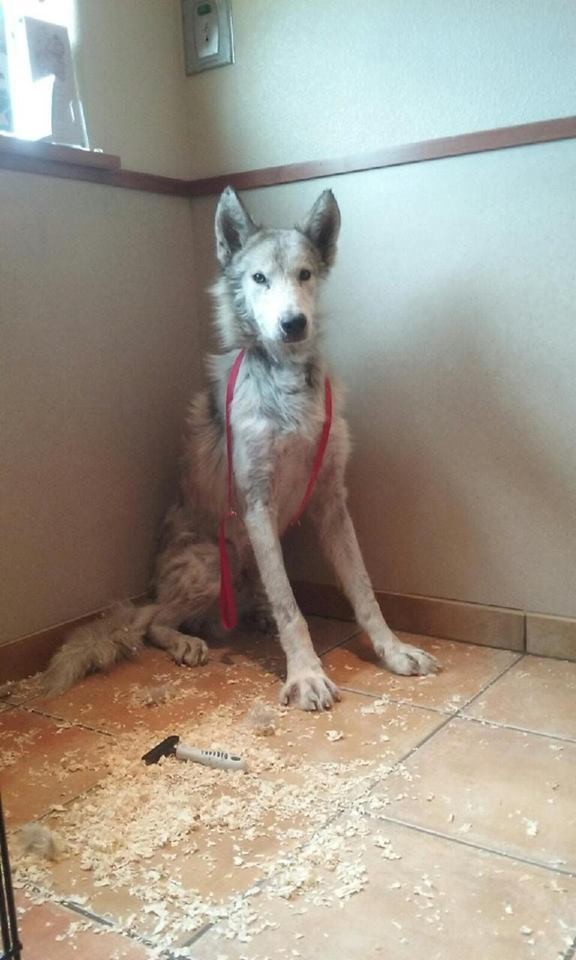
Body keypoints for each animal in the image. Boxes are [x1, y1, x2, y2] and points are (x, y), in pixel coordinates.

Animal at [42, 187, 439, 709]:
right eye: (259, 278)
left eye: (305, 274)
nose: (293, 324)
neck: (286, 384)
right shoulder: (256, 505)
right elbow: (292, 605)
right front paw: (306, 673)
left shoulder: (331, 501)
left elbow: (363, 590)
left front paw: (392, 651)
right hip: (214, 562)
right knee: (153, 622)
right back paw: (185, 640)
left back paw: (251, 617)